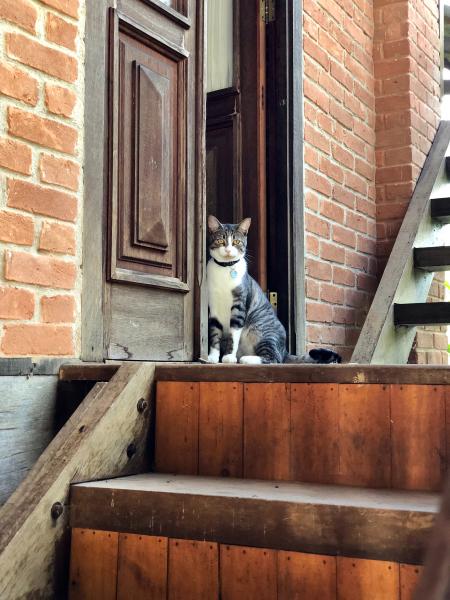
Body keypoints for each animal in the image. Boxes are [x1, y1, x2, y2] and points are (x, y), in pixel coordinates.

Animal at [207, 216, 342, 366]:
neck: (224, 269)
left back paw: (246, 359)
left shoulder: (239, 307)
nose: (228, 250)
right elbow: (214, 334)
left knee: (274, 358)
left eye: (236, 241)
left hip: (262, 331)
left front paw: (229, 357)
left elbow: (233, 334)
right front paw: (213, 357)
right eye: (220, 240)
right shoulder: (213, 308)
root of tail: (285, 351)